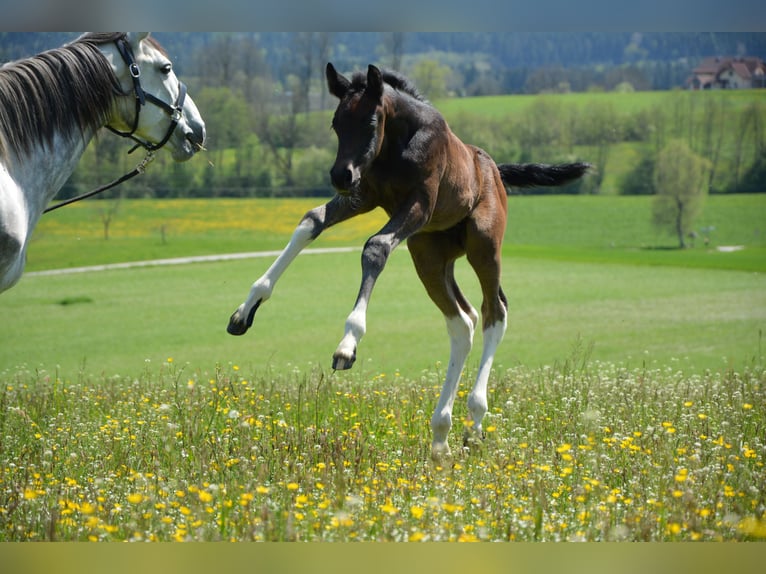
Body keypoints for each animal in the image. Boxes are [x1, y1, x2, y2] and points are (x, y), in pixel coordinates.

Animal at [227, 63, 588, 459]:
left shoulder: (418, 203)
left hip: (483, 245)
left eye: (370, 122)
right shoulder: (364, 194)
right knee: (462, 322)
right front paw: (245, 311)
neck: (395, 148)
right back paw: (441, 433)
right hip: (429, 255)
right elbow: (311, 221)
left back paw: (474, 422)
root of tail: (494, 168)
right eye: (336, 123)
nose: (340, 175)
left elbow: (376, 247)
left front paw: (348, 344)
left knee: (495, 311)